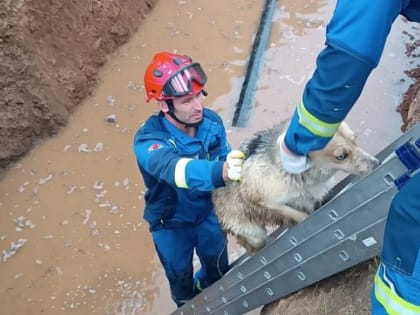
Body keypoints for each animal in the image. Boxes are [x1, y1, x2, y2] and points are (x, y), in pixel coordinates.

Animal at [212, 121, 378, 256]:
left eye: (355, 139)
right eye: (341, 156)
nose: (376, 164)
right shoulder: (264, 199)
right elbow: (299, 215)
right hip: (255, 234)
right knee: (248, 242)